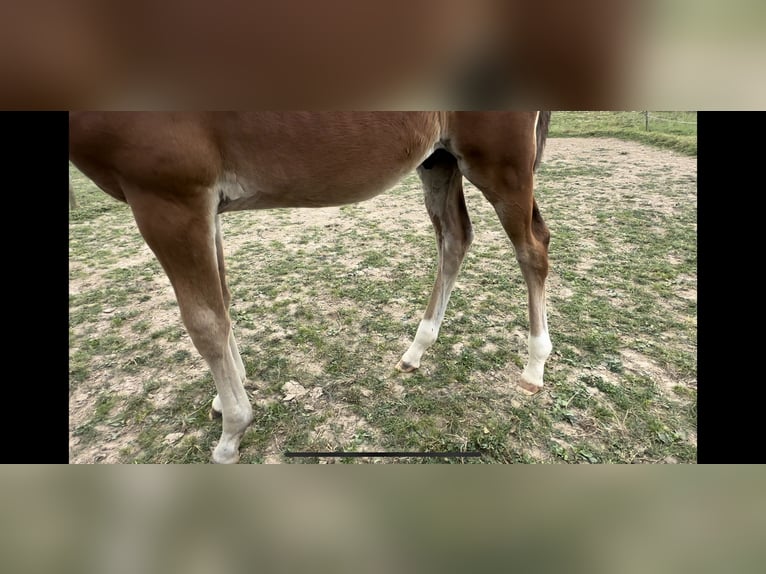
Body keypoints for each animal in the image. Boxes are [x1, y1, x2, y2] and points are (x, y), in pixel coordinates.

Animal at [69, 111, 556, 464]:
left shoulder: (169, 200)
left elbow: (204, 323)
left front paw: (231, 432)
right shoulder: (203, 208)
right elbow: (222, 303)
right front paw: (227, 398)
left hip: (501, 163)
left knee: (532, 248)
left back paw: (534, 368)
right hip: (440, 160)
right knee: (455, 237)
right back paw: (417, 349)